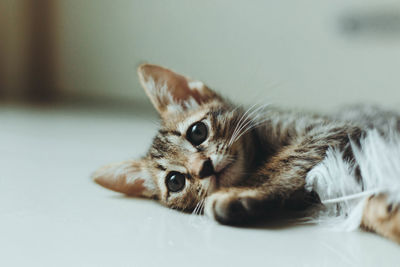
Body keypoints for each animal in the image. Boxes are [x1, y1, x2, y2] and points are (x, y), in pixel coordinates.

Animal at [92, 63, 400, 244]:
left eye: (197, 132)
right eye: (175, 182)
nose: (204, 167)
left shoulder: (333, 129)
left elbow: (291, 157)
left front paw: (244, 191)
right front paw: (383, 213)